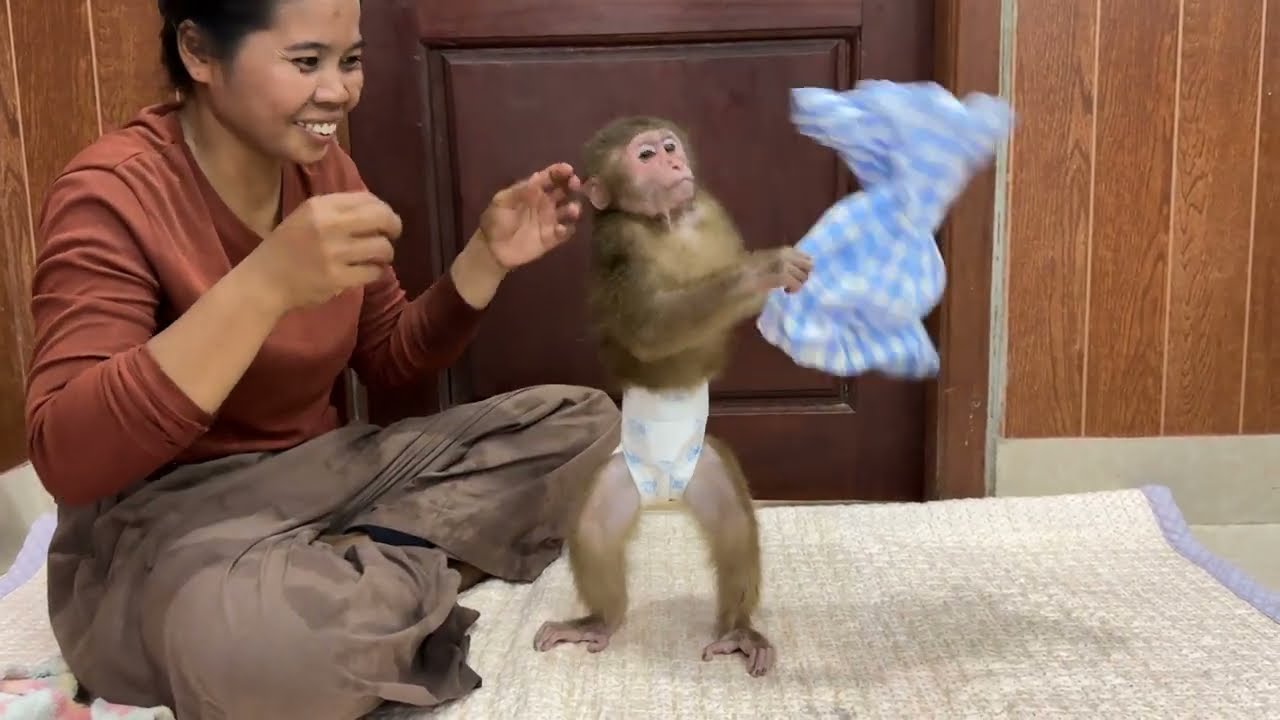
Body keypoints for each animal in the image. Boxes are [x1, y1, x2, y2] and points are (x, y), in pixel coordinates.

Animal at [531, 116, 812, 677]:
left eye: (668, 145)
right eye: (645, 156)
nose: (675, 162)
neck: (666, 222)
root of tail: (666, 493)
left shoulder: (707, 209)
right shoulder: (618, 240)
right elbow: (649, 330)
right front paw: (762, 269)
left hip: (704, 468)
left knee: (733, 527)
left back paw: (737, 629)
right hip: (624, 475)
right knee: (595, 529)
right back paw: (599, 620)